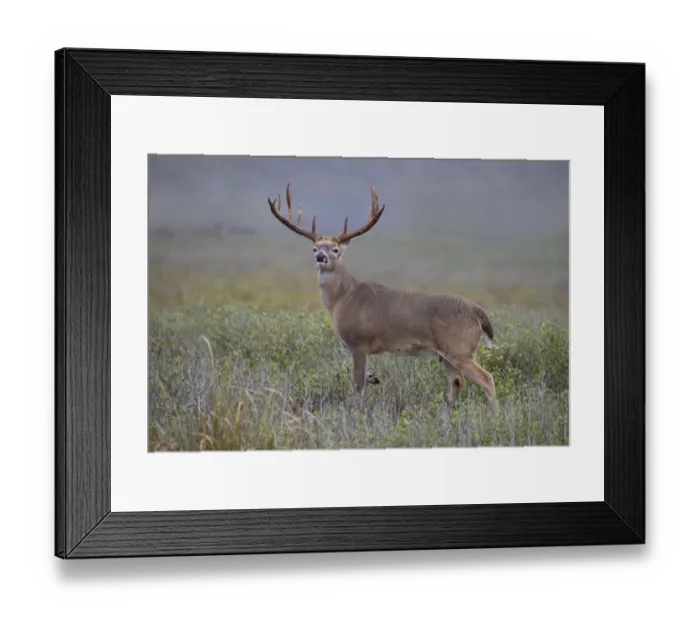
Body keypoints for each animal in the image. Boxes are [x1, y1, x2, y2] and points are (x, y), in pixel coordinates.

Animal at [267, 183, 499, 414]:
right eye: (314, 248)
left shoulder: (358, 343)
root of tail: (478, 312)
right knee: (457, 381)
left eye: (336, 249)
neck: (343, 298)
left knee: (486, 378)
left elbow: (358, 385)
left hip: (460, 349)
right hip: (446, 355)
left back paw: (494, 415)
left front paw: (356, 411)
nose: (320, 258)